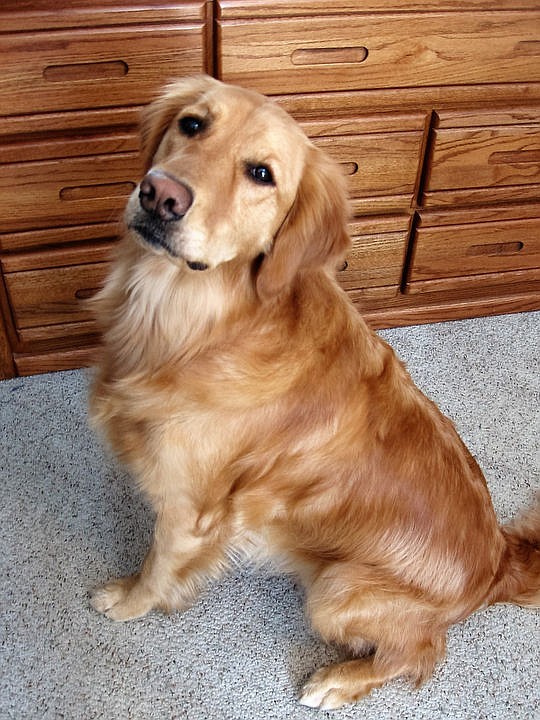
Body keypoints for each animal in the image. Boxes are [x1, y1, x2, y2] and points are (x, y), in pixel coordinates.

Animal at [89, 74, 540, 708]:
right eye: (193, 124)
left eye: (262, 174)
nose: (160, 195)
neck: (199, 323)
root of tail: (498, 560)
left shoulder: (189, 508)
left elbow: (157, 567)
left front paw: (130, 601)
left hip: (337, 587)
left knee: (421, 652)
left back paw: (336, 681)